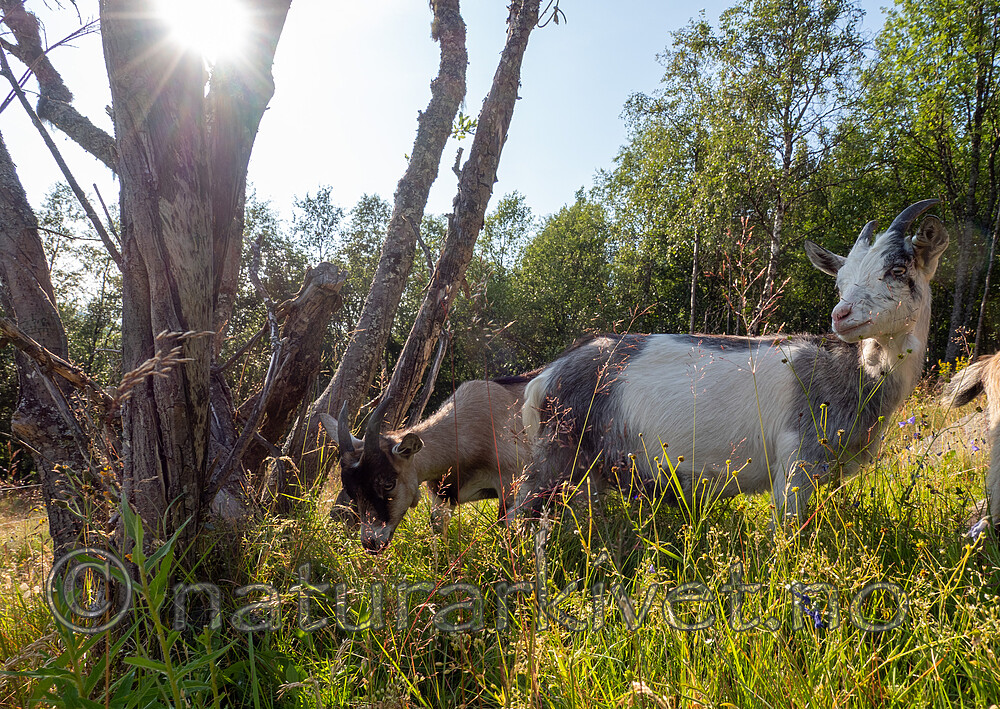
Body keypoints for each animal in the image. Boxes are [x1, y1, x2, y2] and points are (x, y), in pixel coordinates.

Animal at [512, 200, 949, 526]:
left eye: (898, 269)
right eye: (839, 282)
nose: (841, 316)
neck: (850, 373)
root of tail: (546, 376)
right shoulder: (797, 459)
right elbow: (787, 532)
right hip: (555, 453)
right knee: (519, 511)